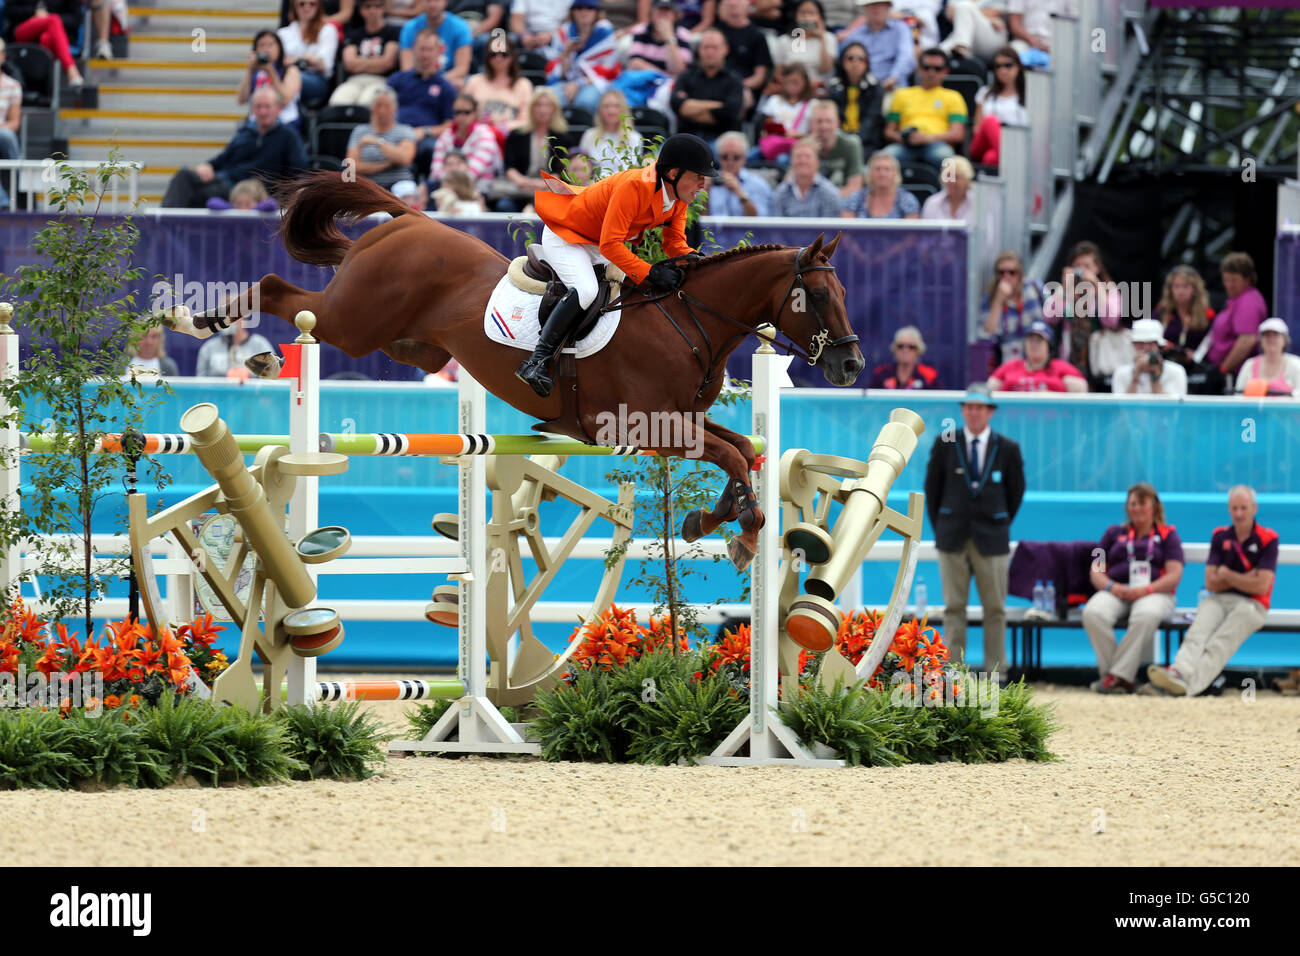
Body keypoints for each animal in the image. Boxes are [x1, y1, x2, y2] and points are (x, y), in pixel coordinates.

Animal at [167, 171, 868, 567]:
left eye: (843, 293)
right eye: (816, 296)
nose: (852, 364)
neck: (689, 323)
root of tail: (410, 221)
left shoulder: (678, 421)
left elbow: (740, 451)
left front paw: (720, 524)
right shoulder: (637, 426)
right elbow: (727, 454)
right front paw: (741, 528)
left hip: (414, 346)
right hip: (351, 322)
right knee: (282, 291)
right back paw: (203, 326)